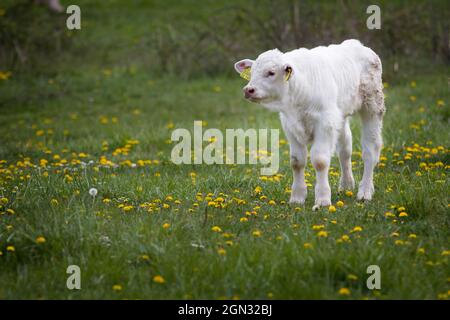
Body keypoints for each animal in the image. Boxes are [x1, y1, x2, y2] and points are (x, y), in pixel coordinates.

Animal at [234, 39, 384, 210]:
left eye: (271, 72)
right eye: (252, 73)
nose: (248, 89)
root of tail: (356, 44)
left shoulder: (325, 123)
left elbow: (320, 161)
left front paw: (323, 199)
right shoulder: (290, 125)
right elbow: (296, 161)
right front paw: (297, 197)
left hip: (372, 107)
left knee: (370, 151)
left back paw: (365, 192)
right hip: (340, 115)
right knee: (345, 149)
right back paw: (346, 185)